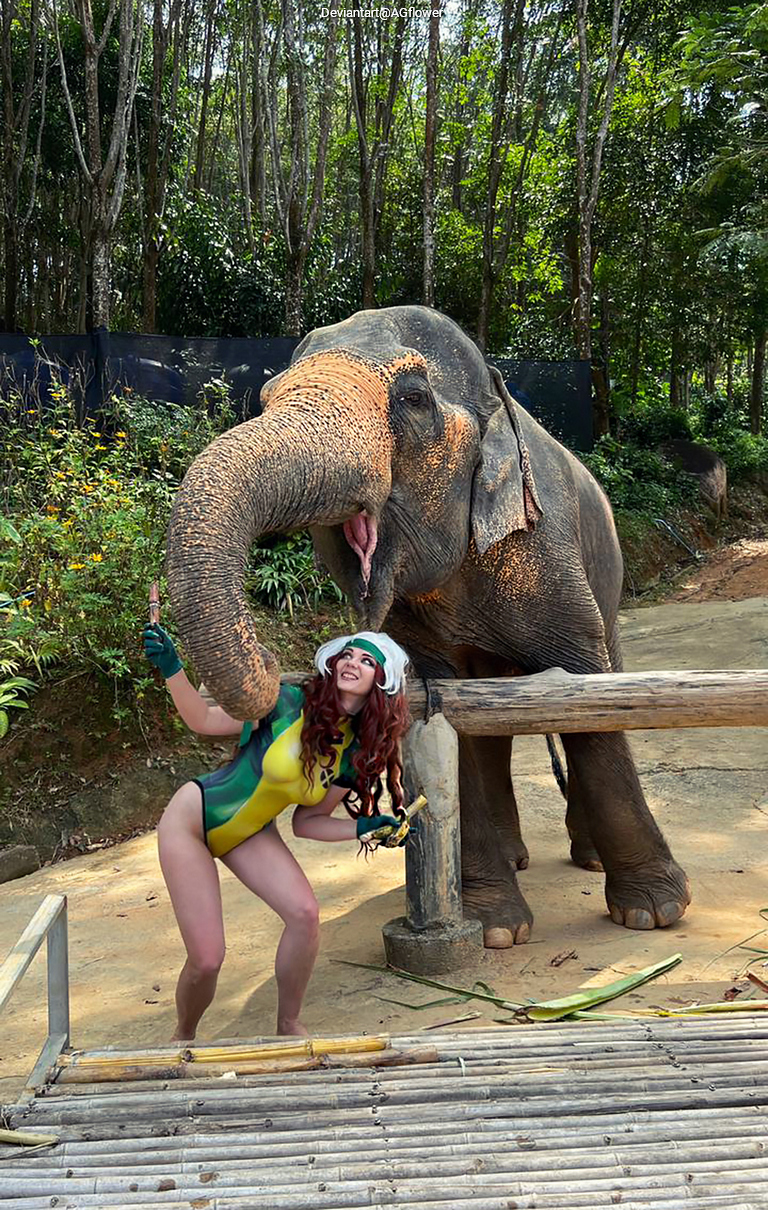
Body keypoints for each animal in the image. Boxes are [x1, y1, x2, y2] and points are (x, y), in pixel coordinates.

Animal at [166, 305, 690, 947]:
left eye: (414, 399)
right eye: (265, 399)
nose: (269, 660)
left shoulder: (549, 553)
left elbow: (589, 698)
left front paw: (653, 913)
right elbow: (440, 709)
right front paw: (494, 929)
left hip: (607, 574)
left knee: (603, 670)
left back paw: (587, 859)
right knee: (487, 725)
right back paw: (513, 860)